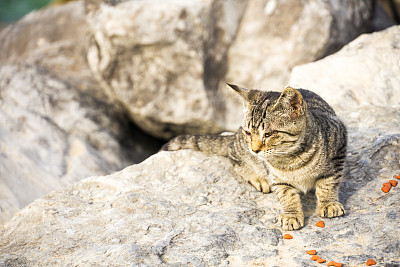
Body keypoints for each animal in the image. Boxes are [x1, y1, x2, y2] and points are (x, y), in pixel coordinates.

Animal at [161, 85, 346, 231]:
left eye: (269, 134)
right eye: (249, 133)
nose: (255, 149)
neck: (291, 158)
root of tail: (235, 134)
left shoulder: (339, 148)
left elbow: (327, 183)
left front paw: (328, 203)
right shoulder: (276, 176)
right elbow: (285, 193)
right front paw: (291, 214)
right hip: (240, 150)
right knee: (233, 158)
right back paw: (258, 178)